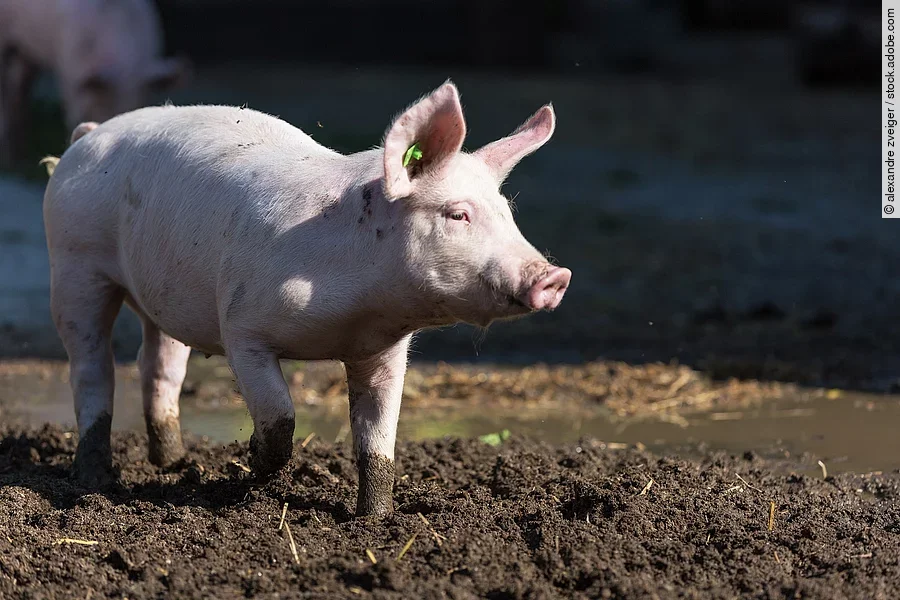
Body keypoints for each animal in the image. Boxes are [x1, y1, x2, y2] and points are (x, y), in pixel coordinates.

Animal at [0, 0, 189, 166]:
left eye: (139, 100)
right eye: (105, 100)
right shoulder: (71, 71)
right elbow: (73, 114)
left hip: (27, 51)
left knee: (20, 87)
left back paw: (20, 155)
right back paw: (9, 160)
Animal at [43, 81, 571, 516]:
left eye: (507, 213)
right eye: (458, 214)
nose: (555, 275)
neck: (359, 312)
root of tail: (87, 136)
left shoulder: (384, 350)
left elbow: (379, 439)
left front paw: (376, 520)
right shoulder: (242, 328)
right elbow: (280, 417)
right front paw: (252, 466)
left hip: (163, 290)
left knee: (158, 365)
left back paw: (172, 464)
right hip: (74, 264)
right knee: (92, 368)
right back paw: (93, 479)